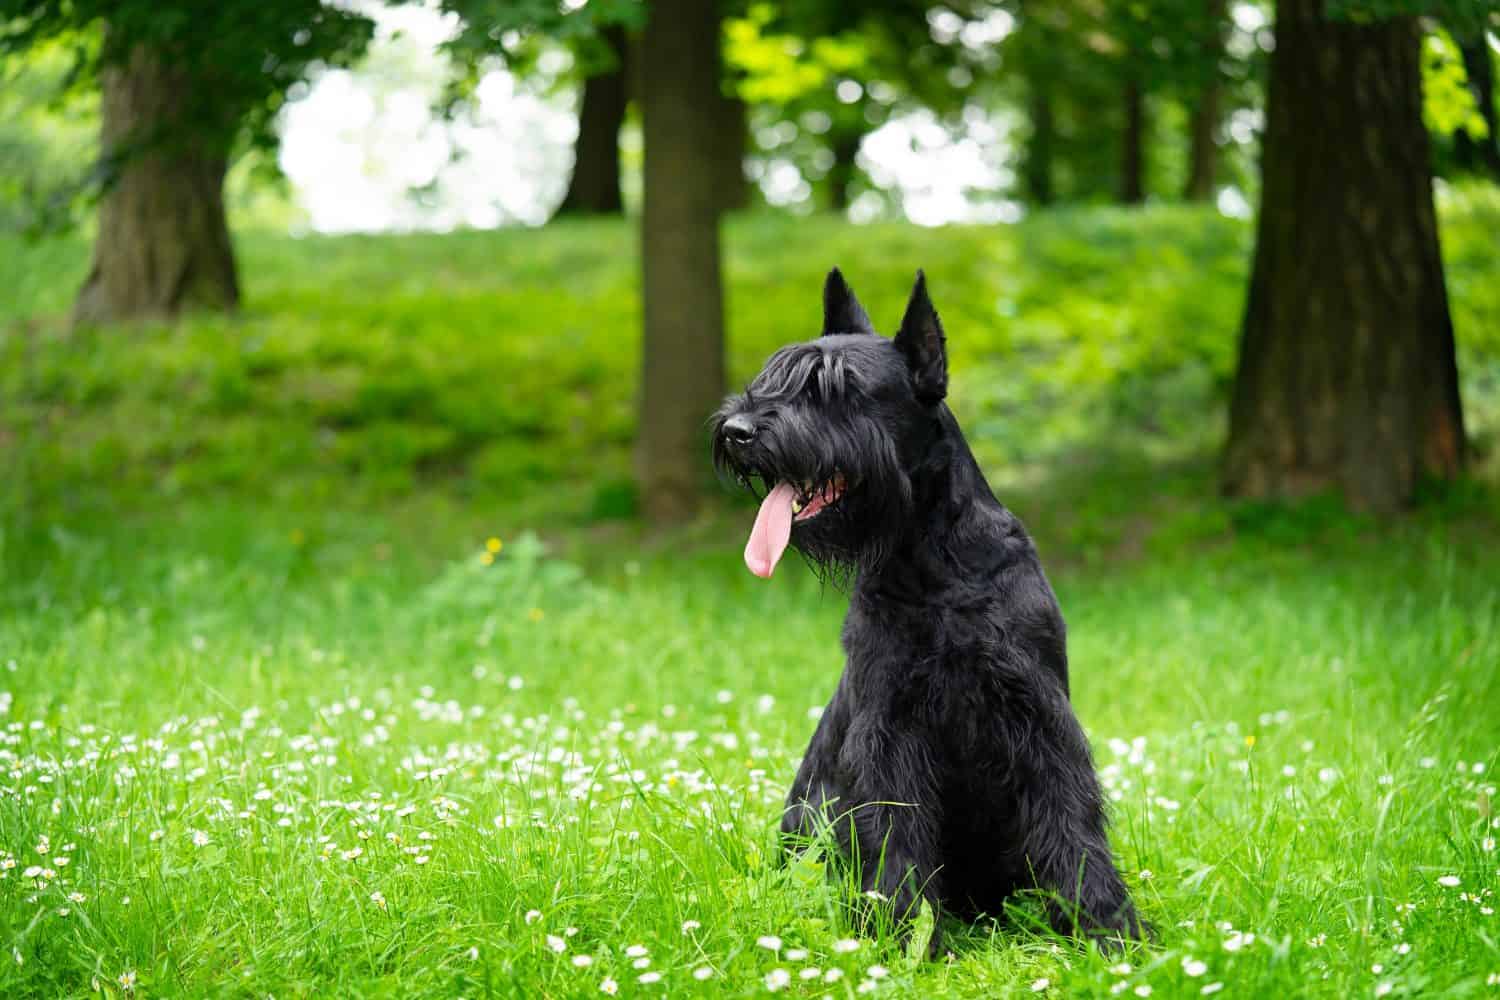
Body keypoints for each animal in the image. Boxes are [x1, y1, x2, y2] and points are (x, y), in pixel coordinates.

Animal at [711, 269, 1134, 959]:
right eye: (775, 375)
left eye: (837, 389)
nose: (737, 430)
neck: (931, 561)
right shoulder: (890, 728)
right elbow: (896, 835)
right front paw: (900, 936)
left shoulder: (1039, 718)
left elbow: (1070, 820)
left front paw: (1109, 930)